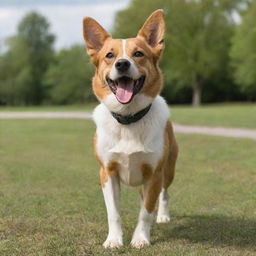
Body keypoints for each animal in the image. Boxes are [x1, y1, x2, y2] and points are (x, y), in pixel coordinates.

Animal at [83, 9, 178, 248]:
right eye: (109, 55)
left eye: (138, 53)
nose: (122, 64)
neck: (128, 119)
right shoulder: (107, 172)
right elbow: (113, 212)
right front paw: (114, 240)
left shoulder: (154, 173)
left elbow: (146, 211)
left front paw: (141, 238)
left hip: (169, 169)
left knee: (163, 194)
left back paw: (162, 216)